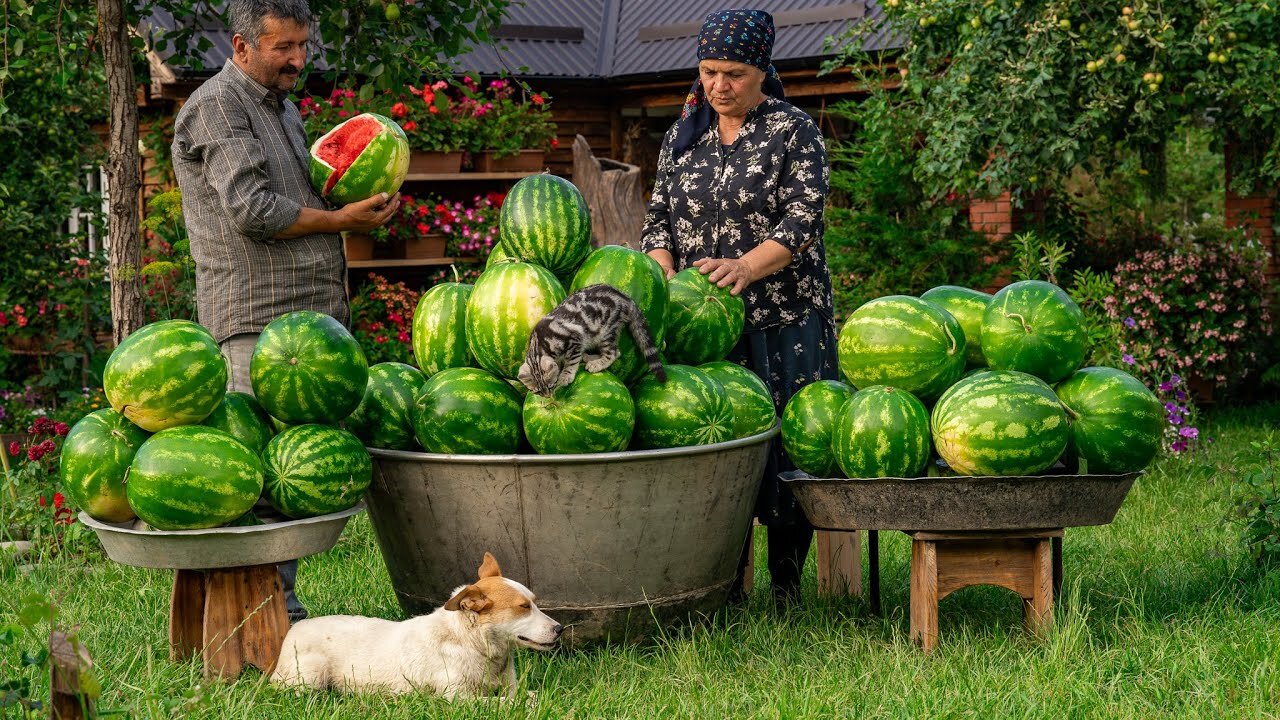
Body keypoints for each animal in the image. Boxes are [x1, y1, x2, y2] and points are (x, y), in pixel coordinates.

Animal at [268, 548, 560, 696]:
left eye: (535, 602)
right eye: (523, 607)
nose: (560, 628)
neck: (472, 643)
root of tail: (293, 630)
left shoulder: (510, 689)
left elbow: (527, 697)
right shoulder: (459, 698)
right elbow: (501, 705)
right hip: (309, 677)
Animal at [517, 283, 670, 394]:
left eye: (551, 386)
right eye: (538, 392)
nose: (548, 396)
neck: (539, 342)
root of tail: (626, 298)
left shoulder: (575, 341)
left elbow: (571, 362)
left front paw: (566, 375)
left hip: (606, 332)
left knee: (614, 353)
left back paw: (596, 364)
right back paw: (589, 357)